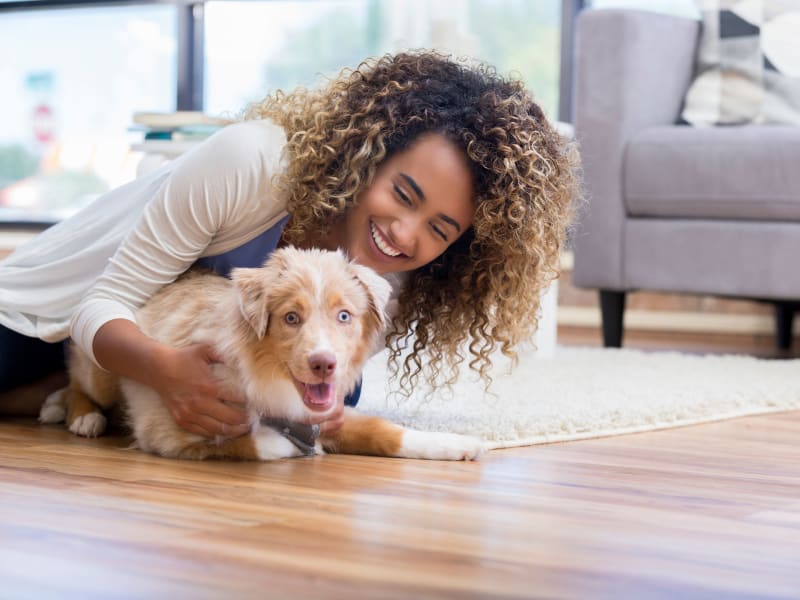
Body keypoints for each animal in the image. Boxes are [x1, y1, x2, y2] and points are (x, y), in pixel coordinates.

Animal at [40, 246, 484, 462]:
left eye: (344, 315)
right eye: (291, 317)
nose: (324, 364)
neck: (267, 374)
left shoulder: (327, 413)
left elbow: (385, 430)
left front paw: (457, 444)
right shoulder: (166, 430)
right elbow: (254, 443)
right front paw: (293, 446)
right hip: (101, 366)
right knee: (78, 378)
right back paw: (78, 414)